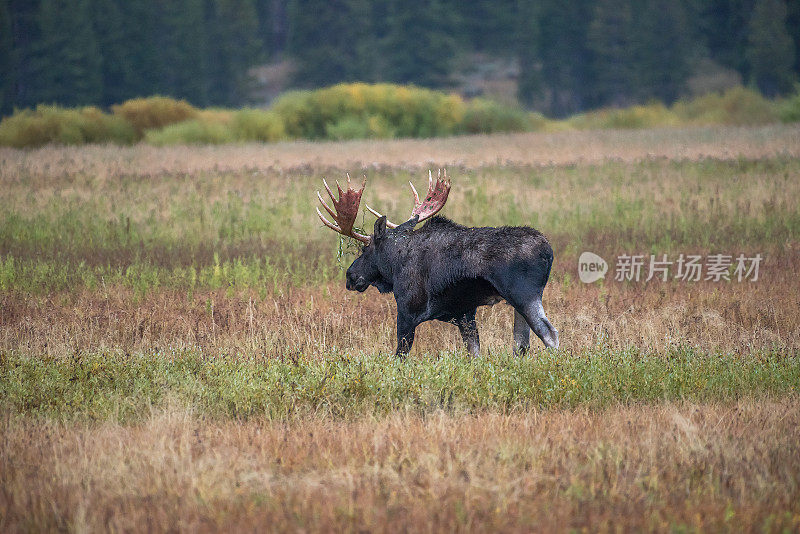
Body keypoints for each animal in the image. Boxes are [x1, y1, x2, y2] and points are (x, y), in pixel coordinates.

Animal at [316, 170, 560, 358]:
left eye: (365, 249)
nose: (350, 275)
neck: (394, 266)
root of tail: (548, 252)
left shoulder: (407, 311)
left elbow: (399, 356)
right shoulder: (465, 313)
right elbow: (475, 353)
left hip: (523, 294)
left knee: (550, 334)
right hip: (516, 303)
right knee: (521, 345)